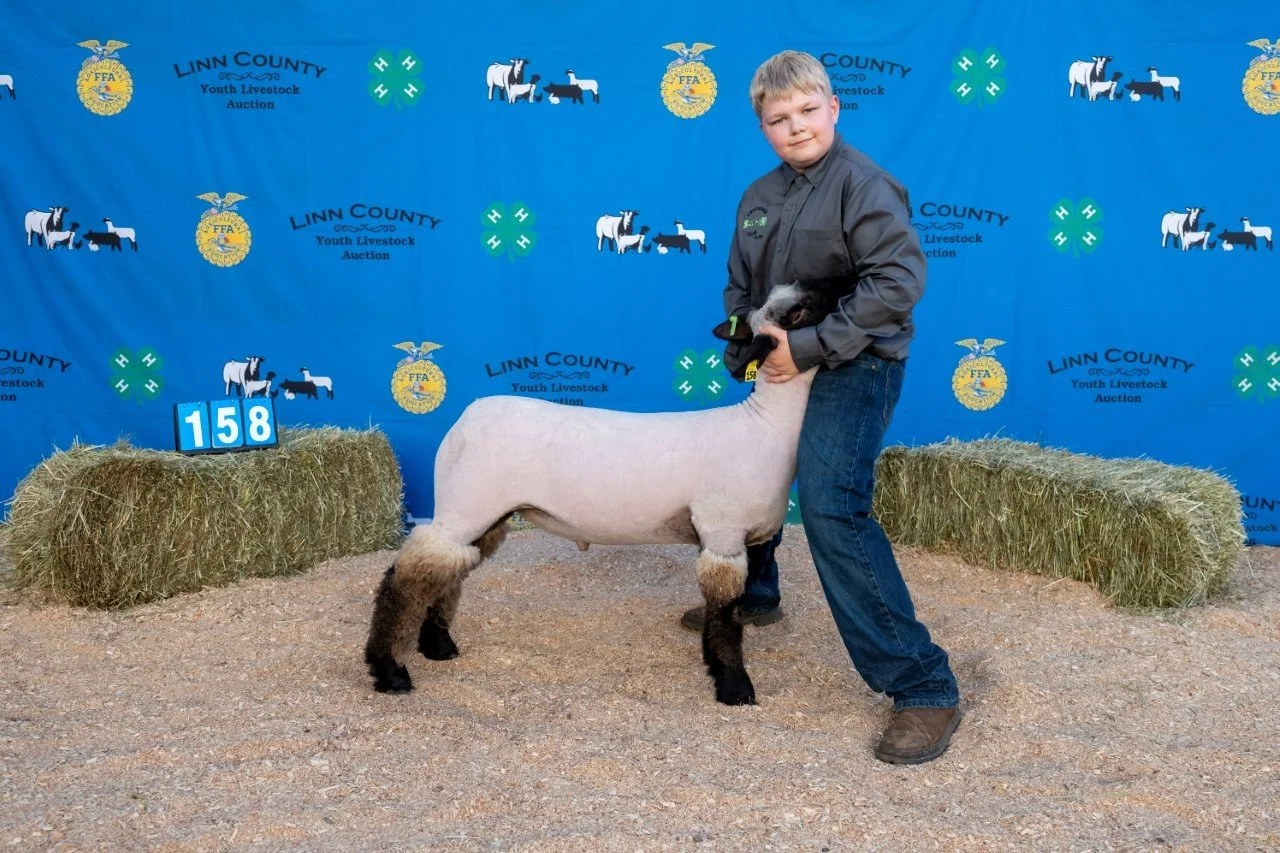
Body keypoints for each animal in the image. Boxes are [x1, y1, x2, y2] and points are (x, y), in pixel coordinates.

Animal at [364, 281, 841, 707]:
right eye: (797, 312)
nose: (839, 289)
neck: (763, 425)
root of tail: (466, 418)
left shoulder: (741, 538)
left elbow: (732, 611)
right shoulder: (723, 533)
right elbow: (725, 617)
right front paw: (734, 687)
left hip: (480, 513)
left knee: (444, 572)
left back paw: (437, 648)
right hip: (467, 505)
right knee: (403, 580)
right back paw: (390, 672)